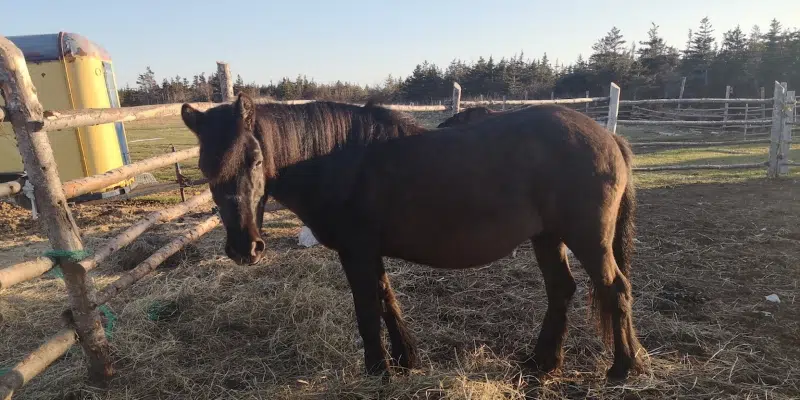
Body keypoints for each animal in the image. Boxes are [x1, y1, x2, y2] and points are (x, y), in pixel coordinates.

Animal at [180, 93, 644, 382]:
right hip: (548, 237)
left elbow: (368, 310)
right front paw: (404, 362)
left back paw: (622, 368)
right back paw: (543, 362)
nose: (245, 248)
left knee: (615, 289)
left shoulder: (357, 253)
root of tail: (609, 137)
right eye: (205, 167)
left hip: (588, 239)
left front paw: (378, 370)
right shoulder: (368, 253)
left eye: (255, 159)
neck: (337, 161)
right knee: (561, 289)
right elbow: (386, 299)